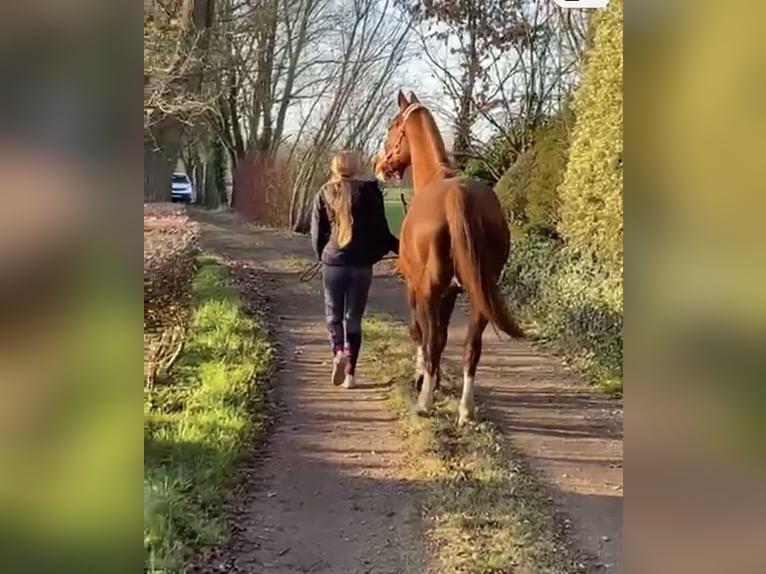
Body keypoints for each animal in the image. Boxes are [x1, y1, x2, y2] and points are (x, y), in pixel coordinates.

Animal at [373, 90, 525, 426]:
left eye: (392, 126)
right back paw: (465, 410)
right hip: (479, 295)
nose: (378, 164)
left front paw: (423, 379)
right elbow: (442, 338)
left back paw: (424, 402)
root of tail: (459, 195)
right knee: (471, 348)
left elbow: (422, 334)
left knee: (429, 339)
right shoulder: (451, 293)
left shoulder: (416, 289)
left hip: (428, 290)